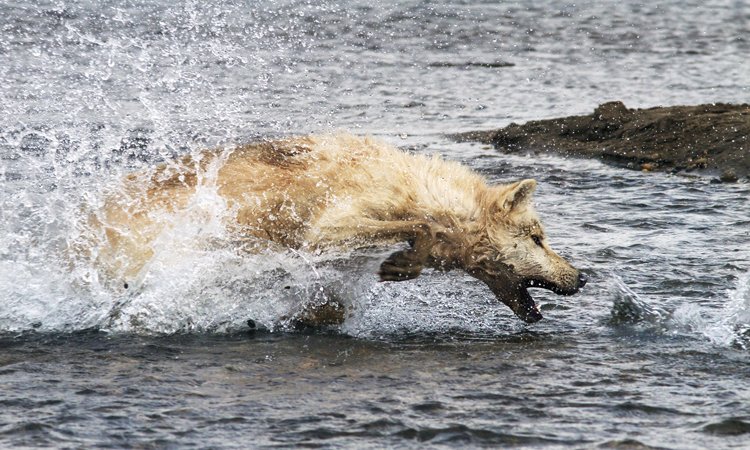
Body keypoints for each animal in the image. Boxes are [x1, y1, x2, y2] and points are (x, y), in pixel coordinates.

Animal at [86, 133, 588, 324]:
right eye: (538, 239)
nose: (583, 277)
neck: (419, 189)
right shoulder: (331, 225)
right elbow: (418, 227)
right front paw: (399, 265)